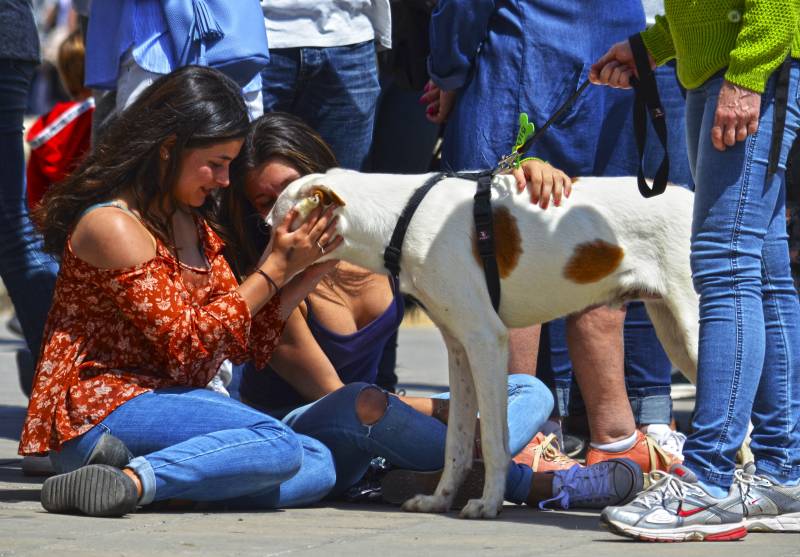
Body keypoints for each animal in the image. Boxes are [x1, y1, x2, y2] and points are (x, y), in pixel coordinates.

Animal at [268, 169, 692, 516]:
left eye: (276, 222)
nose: (264, 263)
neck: (403, 217)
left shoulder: (486, 340)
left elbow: (490, 439)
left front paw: (488, 504)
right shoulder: (459, 347)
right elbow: (456, 440)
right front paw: (440, 500)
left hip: (690, 328)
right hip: (673, 331)